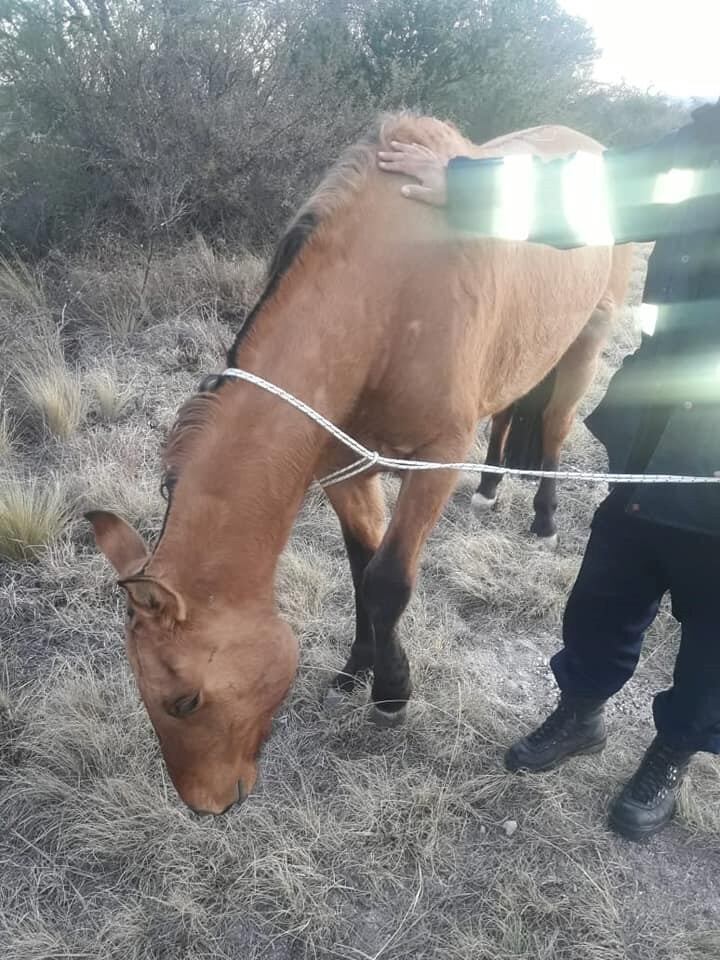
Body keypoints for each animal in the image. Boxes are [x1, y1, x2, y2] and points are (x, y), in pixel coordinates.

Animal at [88, 116, 632, 812]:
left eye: (184, 701)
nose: (207, 806)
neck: (387, 294)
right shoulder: (342, 464)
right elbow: (359, 569)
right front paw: (357, 669)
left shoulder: (434, 461)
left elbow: (388, 579)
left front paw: (391, 694)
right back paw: (489, 488)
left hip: (588, 341)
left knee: (556, 423)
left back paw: (544, 516)